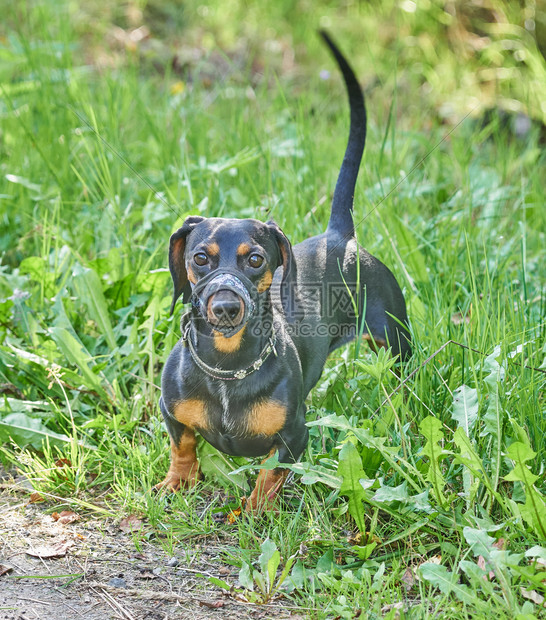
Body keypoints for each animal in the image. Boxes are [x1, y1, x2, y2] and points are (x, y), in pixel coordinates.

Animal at [154, 31, 408, 512]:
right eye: (200, 258)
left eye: (256, 259)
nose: (226, 307)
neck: (228, 368)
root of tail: (339, 236)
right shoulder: (171, 412)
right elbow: (183, 445)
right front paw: (178, 482)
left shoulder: (294, 435)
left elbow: (270, 472)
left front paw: (254, 511)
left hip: (396, 341)